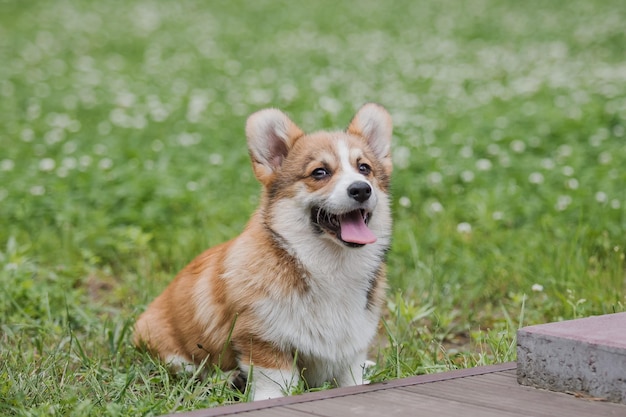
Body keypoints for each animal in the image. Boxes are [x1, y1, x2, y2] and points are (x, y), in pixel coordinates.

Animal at [134, 101, 392, 400]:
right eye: (320, 172)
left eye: (364, 168)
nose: (361, 189)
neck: (330, 266)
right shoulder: (263, 341)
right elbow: (276, 383)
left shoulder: (351, 347)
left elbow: (351, 377)